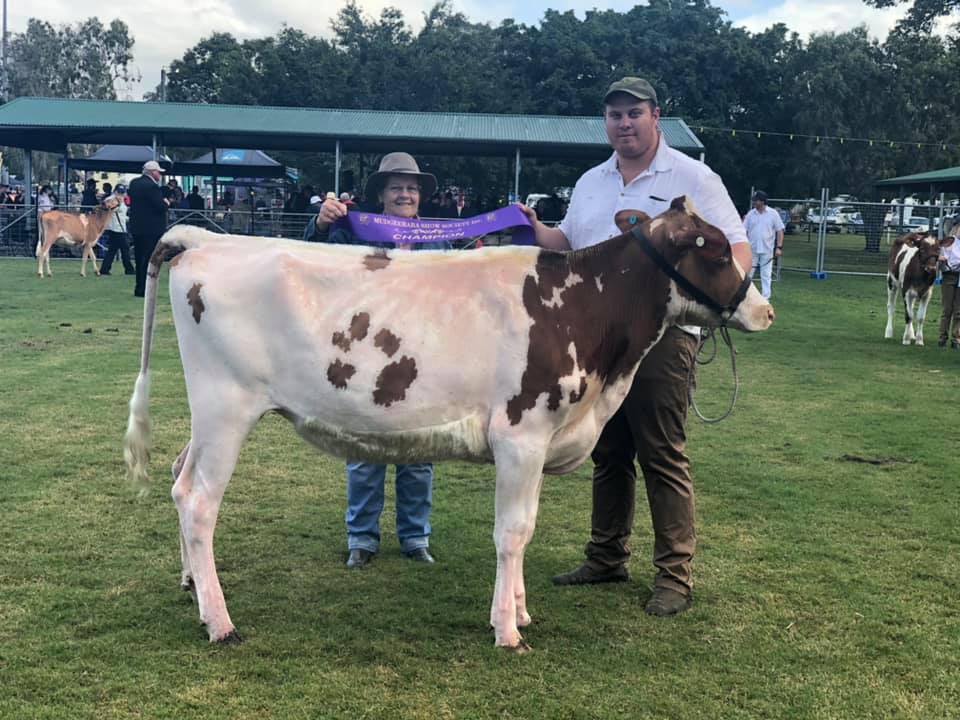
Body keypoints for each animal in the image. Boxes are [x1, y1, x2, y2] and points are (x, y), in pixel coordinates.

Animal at [125, 195, 772, 648]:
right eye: (715, 250)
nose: (764, 310)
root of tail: (205, 239)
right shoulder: (521, 435)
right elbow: (513, 533)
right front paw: (507, 630)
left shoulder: (539, 440)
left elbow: (524, 530)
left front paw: (521, 610)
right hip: (226, 405)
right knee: (198, 500)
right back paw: (220, 621)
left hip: (209, 414)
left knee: (179, 476)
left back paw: (191, 586)